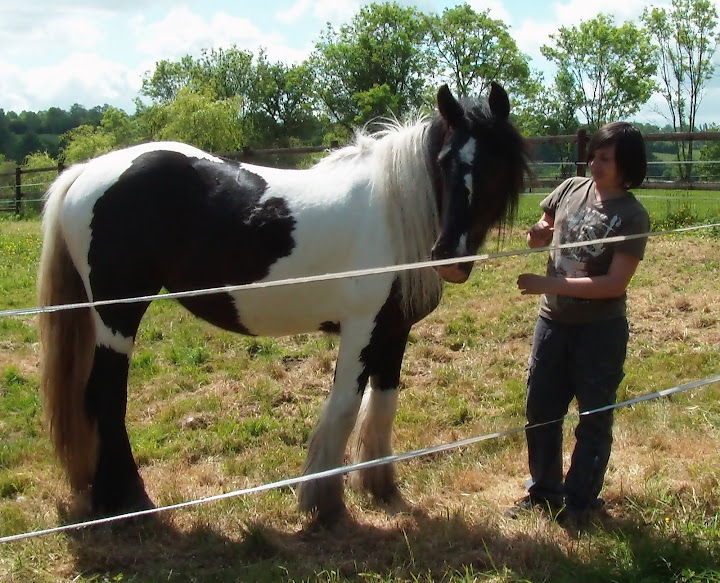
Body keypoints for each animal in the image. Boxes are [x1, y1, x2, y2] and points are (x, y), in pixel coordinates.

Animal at [38, 82, 528, 524]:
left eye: (495, 166)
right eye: (444, 163)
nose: (449, 255)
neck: (396, 212)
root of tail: (86, 171)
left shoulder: (394, 331)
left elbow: (383, 405)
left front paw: (381, 486)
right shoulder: (362, 328)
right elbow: (344, 406)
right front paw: (323, 501)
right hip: (117, 315)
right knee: (105, 397)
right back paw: (129, 501)